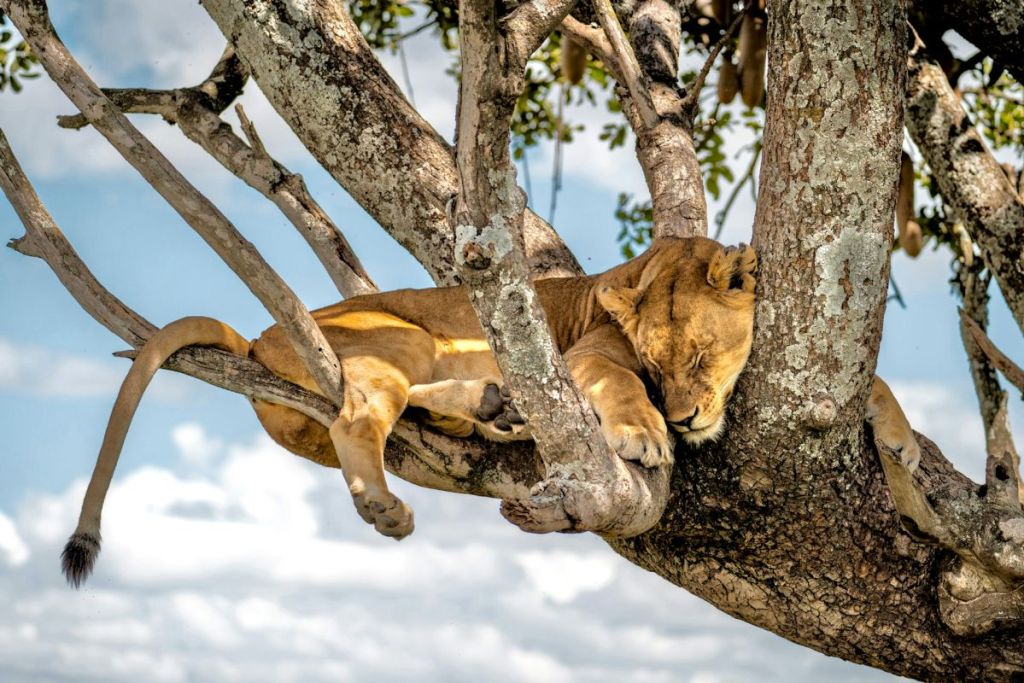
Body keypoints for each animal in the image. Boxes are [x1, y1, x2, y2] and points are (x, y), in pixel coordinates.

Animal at [60, 236, 919, 586]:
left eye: (702, 357)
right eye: (658, 364)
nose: (684, 417)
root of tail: (261, 331)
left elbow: (875, 384)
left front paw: (905, 447)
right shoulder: (590, 357)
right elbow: (619, 388)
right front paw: (643, 435)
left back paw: (493, 408)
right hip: (400, 335)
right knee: (359, 415)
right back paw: (391, 495)